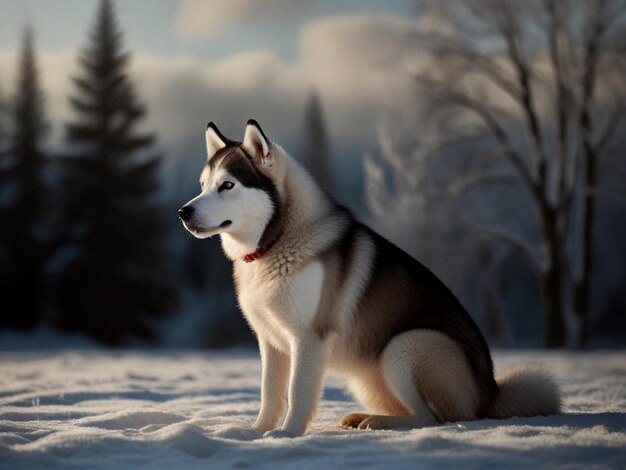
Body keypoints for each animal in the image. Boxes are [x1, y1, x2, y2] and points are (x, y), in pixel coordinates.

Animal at [178, 119, 560, 436]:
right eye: (203, 185)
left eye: (228, 185)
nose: (183, 211)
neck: (278, 241)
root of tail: (489, 393)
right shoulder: (271, 341)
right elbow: (269, 393)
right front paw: (253, 433)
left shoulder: (309, 337)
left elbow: (297, 392)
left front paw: (286, 435)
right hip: (369, 375)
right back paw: (364, 417)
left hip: (407, 345)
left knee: (431, 418)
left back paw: (377, 422)